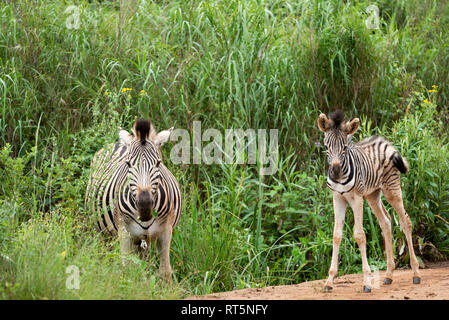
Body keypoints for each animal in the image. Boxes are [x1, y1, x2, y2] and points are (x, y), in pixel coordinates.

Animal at [86, 118, 180, 280]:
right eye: (128, 164)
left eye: (158, 163)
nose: (145, 206)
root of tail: (117, 143)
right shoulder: (125, 233)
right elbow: (126, 270)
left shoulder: (166, 231)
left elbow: (165, 271)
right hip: (102, 232)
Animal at [316, 109, 420, 292]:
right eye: (326, 147)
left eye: (344, 147)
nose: (335, 172)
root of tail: (386, 142)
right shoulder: (337, 198)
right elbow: (336, 235)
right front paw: (329, 281)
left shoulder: (357, 198)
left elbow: (359, 235)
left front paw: (366, 282)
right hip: (373, 195)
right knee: (386, 222)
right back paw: (388, 275)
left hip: (391, 190)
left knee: (405, 222)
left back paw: (415, 273)